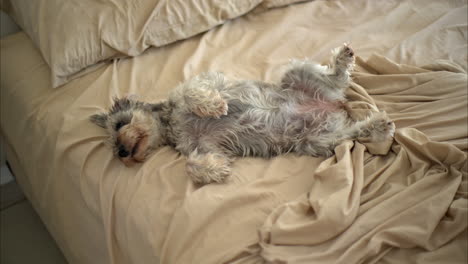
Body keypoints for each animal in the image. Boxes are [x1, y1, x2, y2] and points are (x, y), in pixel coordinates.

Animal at [89, 44, 394, 185]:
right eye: (111, 143)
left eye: (120, 123)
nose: (121, 152)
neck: (170, 124)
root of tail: (333, 106)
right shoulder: (203, 147)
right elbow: (192, 165)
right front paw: (216, 169)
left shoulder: (206, 82)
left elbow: (193, 93)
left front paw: (212, 107)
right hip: (319, 141)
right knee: (353, 131)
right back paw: (377, 125)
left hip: (296, 74)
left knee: (337, 77)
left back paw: (343, 60)